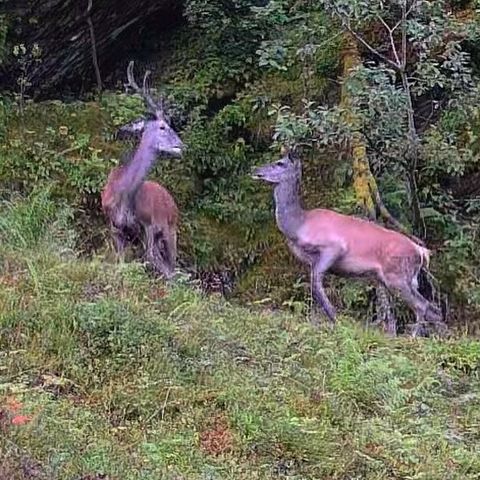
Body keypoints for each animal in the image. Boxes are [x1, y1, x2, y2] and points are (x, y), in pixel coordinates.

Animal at [101, 61, 184, 278]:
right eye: (163, 127)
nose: (182, 145)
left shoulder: (148, 224)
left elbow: (153, 260)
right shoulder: (114, 226)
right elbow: (123, 261)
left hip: (171, 226)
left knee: (171, 262)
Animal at [253, 152, 444, 336]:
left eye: (279, 163)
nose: (256, 170)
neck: (299, 225)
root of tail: (421, 251)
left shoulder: (333, 247)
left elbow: (316, 283)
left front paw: (335, 318)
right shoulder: (312, 261)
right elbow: (314, 287)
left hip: (396, 276)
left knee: (422, 306)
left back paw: (413, 337)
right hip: (403, 278)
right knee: (434, 309)